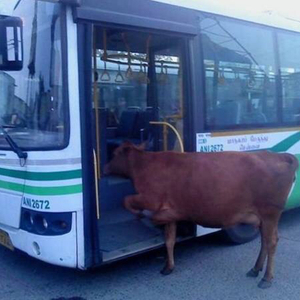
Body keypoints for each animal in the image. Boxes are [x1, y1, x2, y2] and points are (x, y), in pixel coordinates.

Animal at [103, 143, 298, 288]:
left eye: (114, 153)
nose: (104, 168)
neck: (144, 166)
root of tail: (279, 155)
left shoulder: (151, 199)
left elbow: (127, 201)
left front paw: (140, 215)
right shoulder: (169, 210)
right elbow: (169, 240)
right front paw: (168, 266)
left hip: (270, 213)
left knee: (271, 242)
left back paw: (266, 278)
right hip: (263, 218)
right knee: (265, 240)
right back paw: (255, 269)